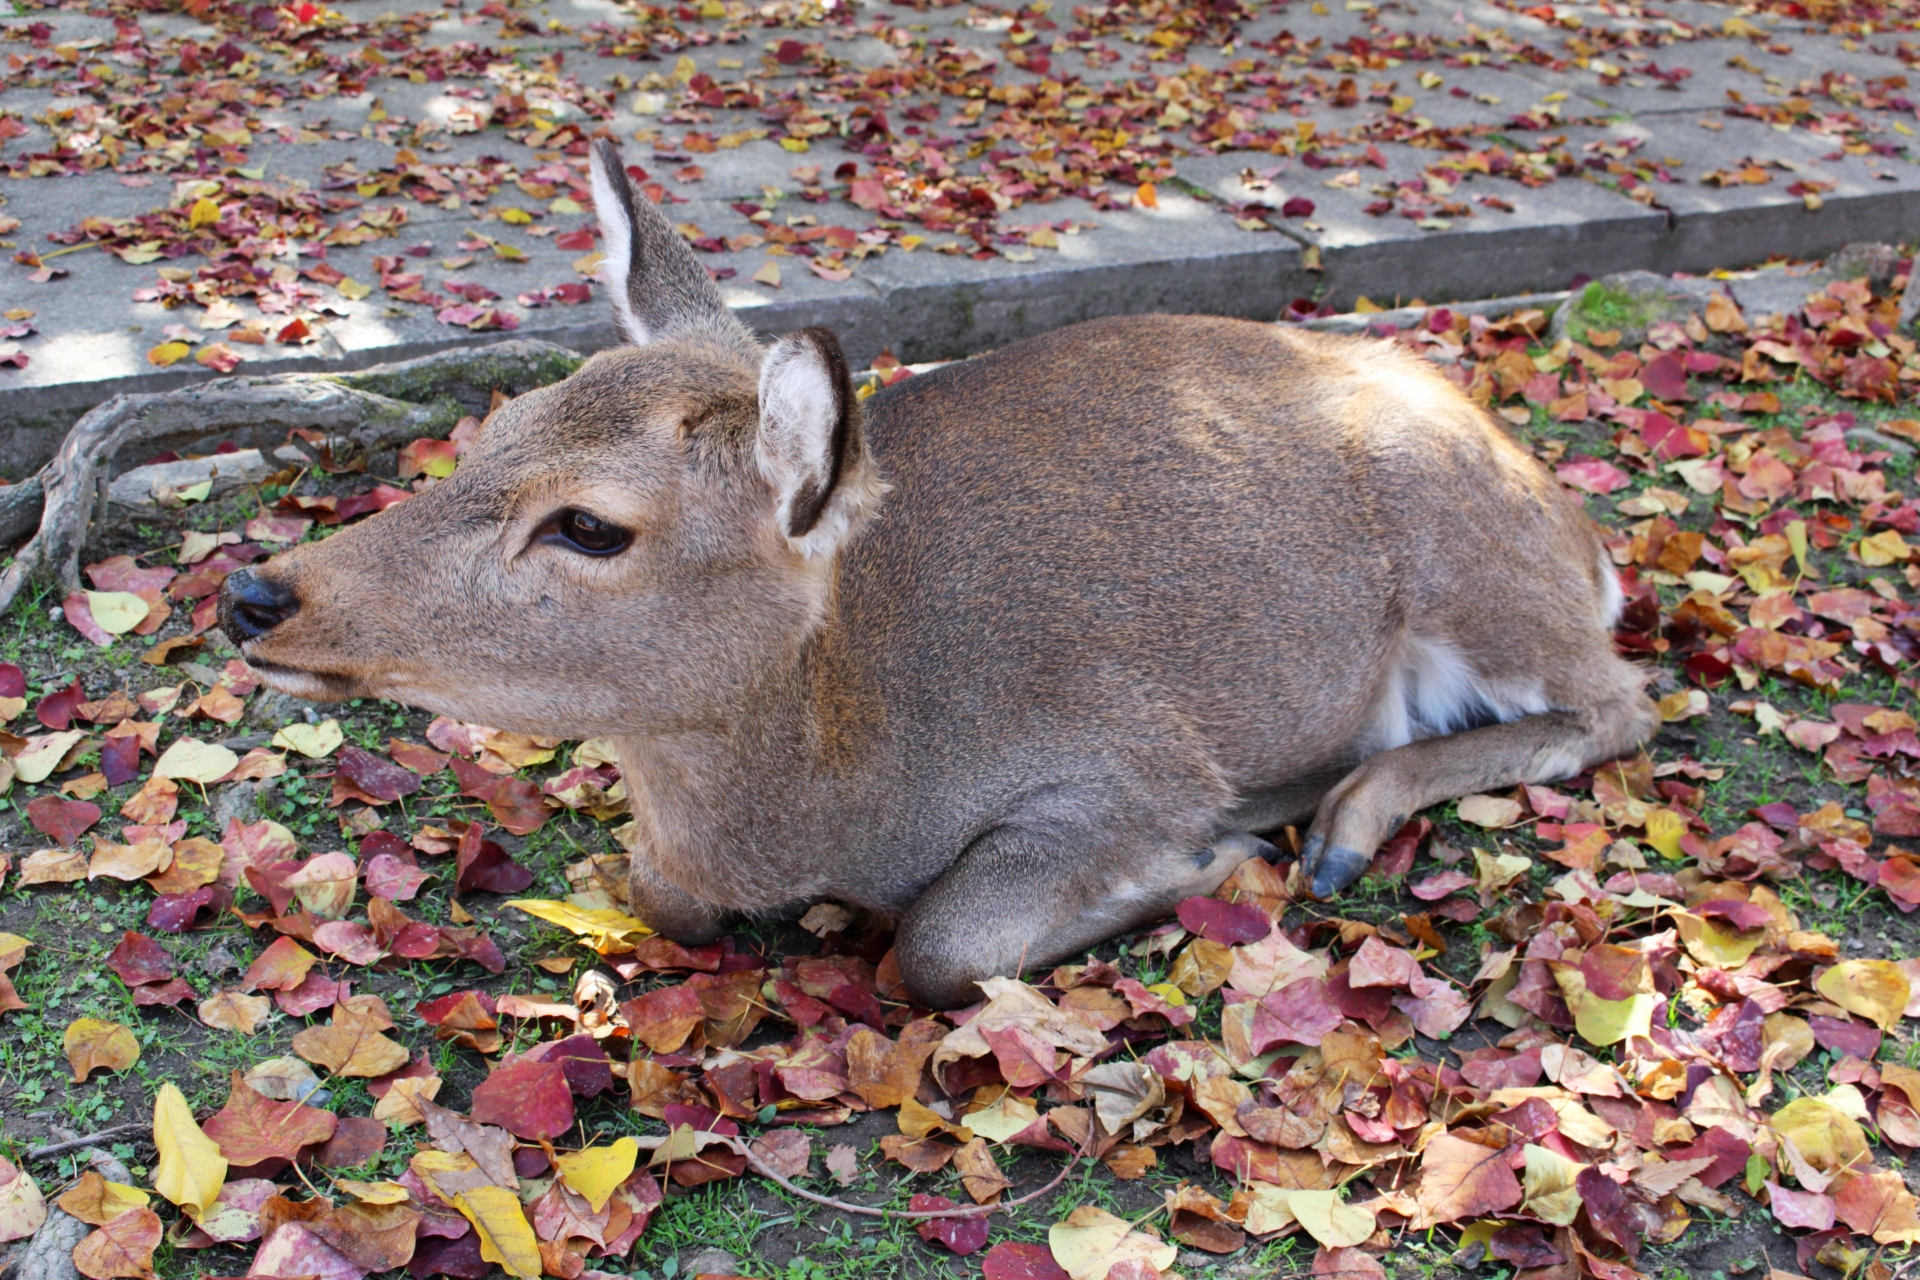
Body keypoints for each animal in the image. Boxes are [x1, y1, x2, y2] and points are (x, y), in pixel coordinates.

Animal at [224, 138, 1658, 1013]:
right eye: (500, 424)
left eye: (589, 525)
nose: (256, 593)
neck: (840, 798)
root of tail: (1578, 535)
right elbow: (655, 891)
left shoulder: (1128, 759)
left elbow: (940, 945)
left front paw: (1209, 860)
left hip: (1479, 569)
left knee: (1621, 704)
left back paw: (1335, 829)